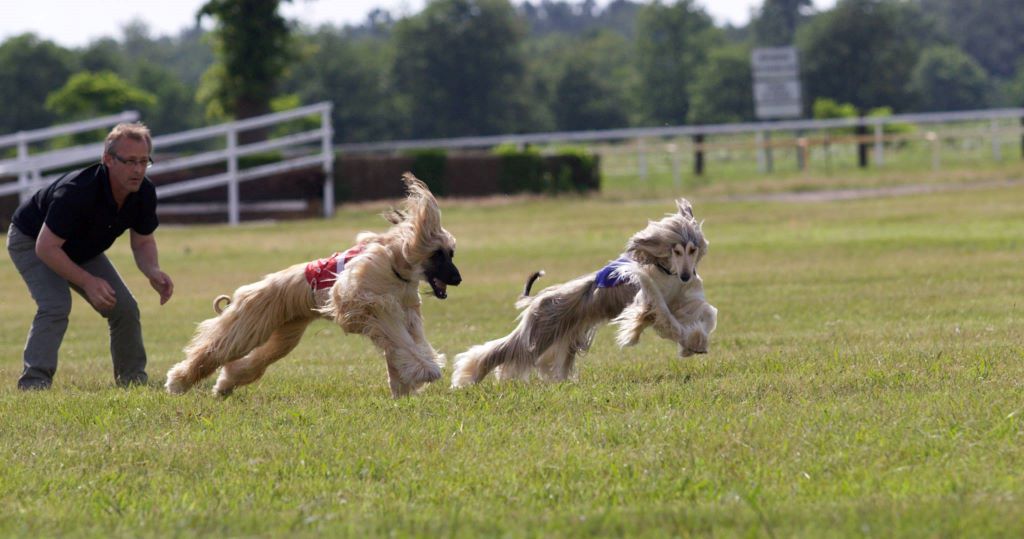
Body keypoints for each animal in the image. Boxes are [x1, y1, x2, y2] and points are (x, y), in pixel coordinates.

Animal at [165, 175, 462, 399]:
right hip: (252, 320)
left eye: (451, 253)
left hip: (287, 331)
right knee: (217, 348)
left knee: (258, 359)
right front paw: (425, 371)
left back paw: (224, 385)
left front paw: (404, 384)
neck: (396, 263)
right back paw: (178, 382)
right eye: (439, 254)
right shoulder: (363, 301)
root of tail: (252, 289)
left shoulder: (405, 309)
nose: (458, 279)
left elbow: (406, 341)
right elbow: (397, 337)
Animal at [452, 198, 716, 389]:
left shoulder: (679, 298)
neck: (666, 270)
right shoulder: (650, 300)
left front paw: (695, 342)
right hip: (541, 331)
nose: (686, 275)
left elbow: (705, 312)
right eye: (676, 250)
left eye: (692, 249)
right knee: (503, 350)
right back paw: (468, 376)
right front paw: (690, 343)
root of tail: (539, 298)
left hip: (565, 335)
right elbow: (668, 320)